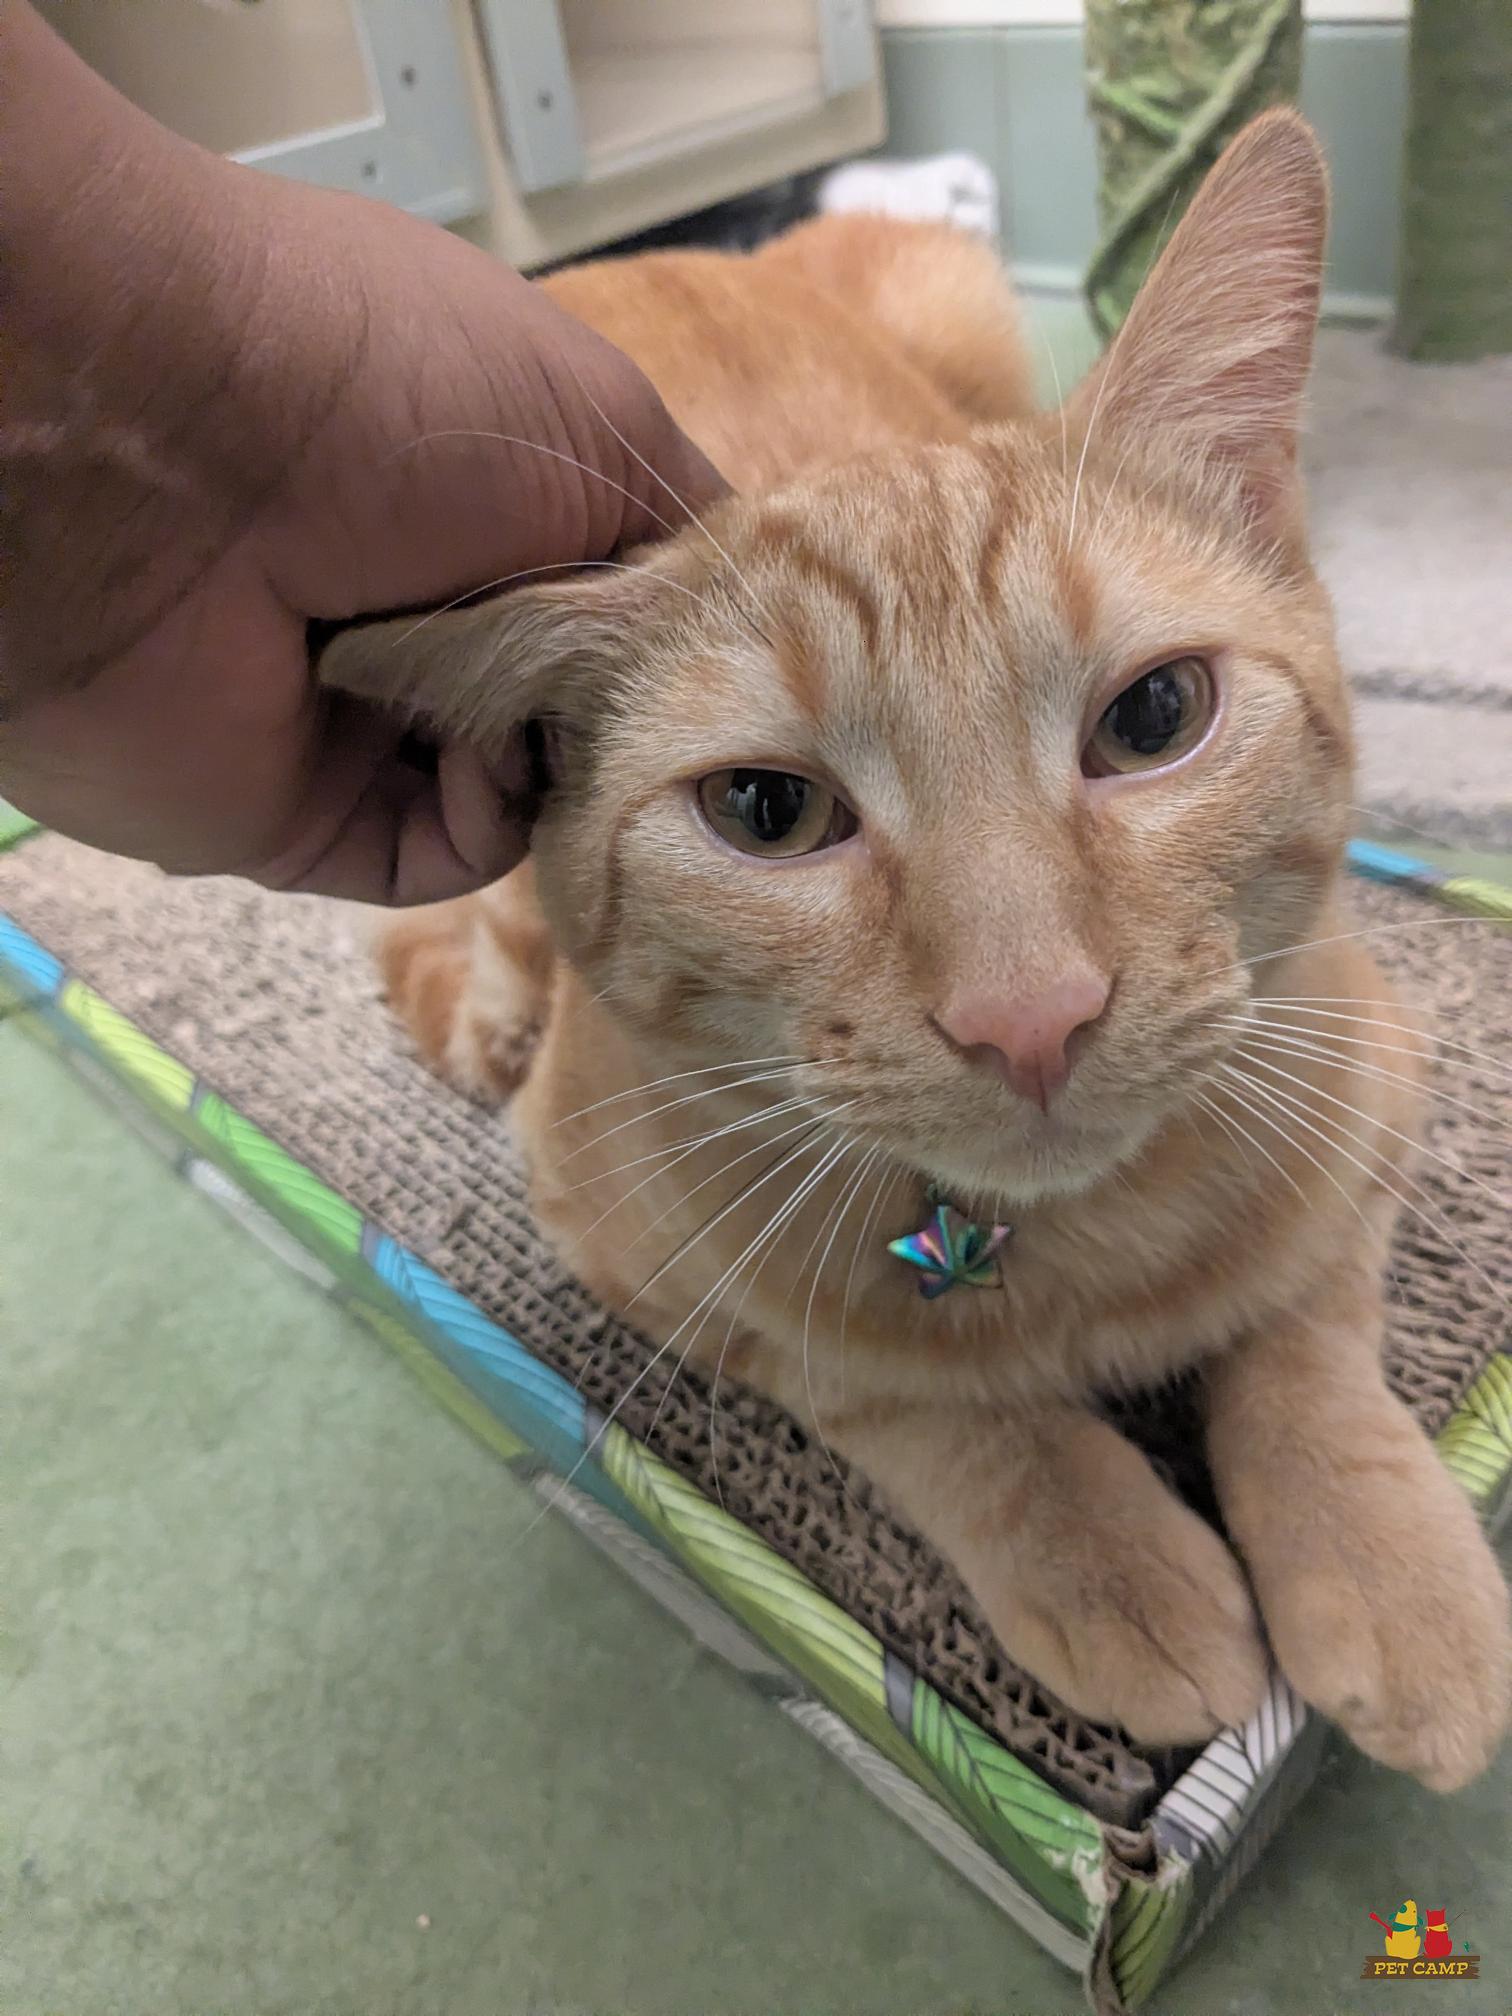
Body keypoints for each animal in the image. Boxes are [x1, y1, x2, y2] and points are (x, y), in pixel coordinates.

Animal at [321, 111, 1510, 1788]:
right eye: (766, 810)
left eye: (1155, 717)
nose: (1031, 1014)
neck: (1091, 1246)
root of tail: (642, 248)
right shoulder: (621, 1239)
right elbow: (898, 1397)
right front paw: (1107, 1555)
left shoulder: (1373, 1083)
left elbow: (1308, 1331)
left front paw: (1386, 1564)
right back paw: (485, 1012)